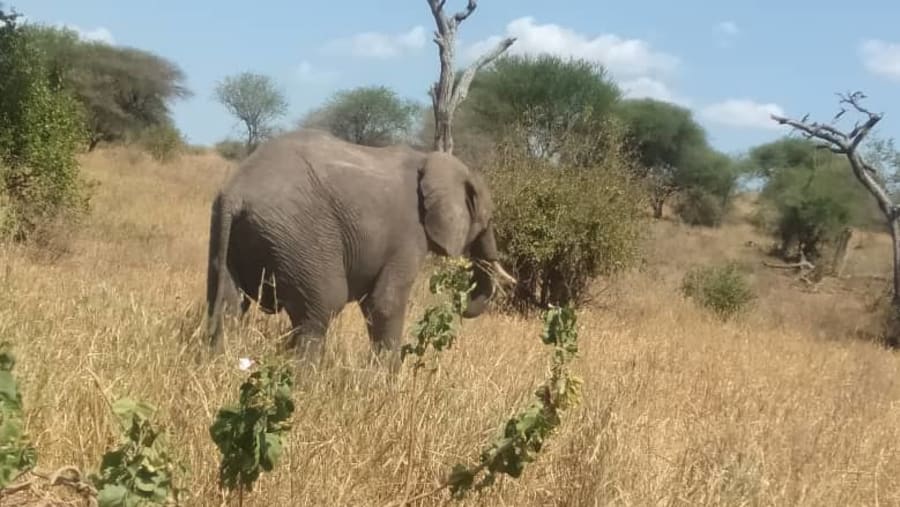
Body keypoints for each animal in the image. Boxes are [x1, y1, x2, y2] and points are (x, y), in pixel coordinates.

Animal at [205, 128, 516, 367]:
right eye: (487, 218)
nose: (457, 301)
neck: (428, 159)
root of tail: (236, 192)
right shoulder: (408, 233)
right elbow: (384, 303)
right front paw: (386, 384)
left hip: (232, 232)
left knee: (229, 306)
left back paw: (221, 365)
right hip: (299, 235)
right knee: (320, 310)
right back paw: (304, 382)